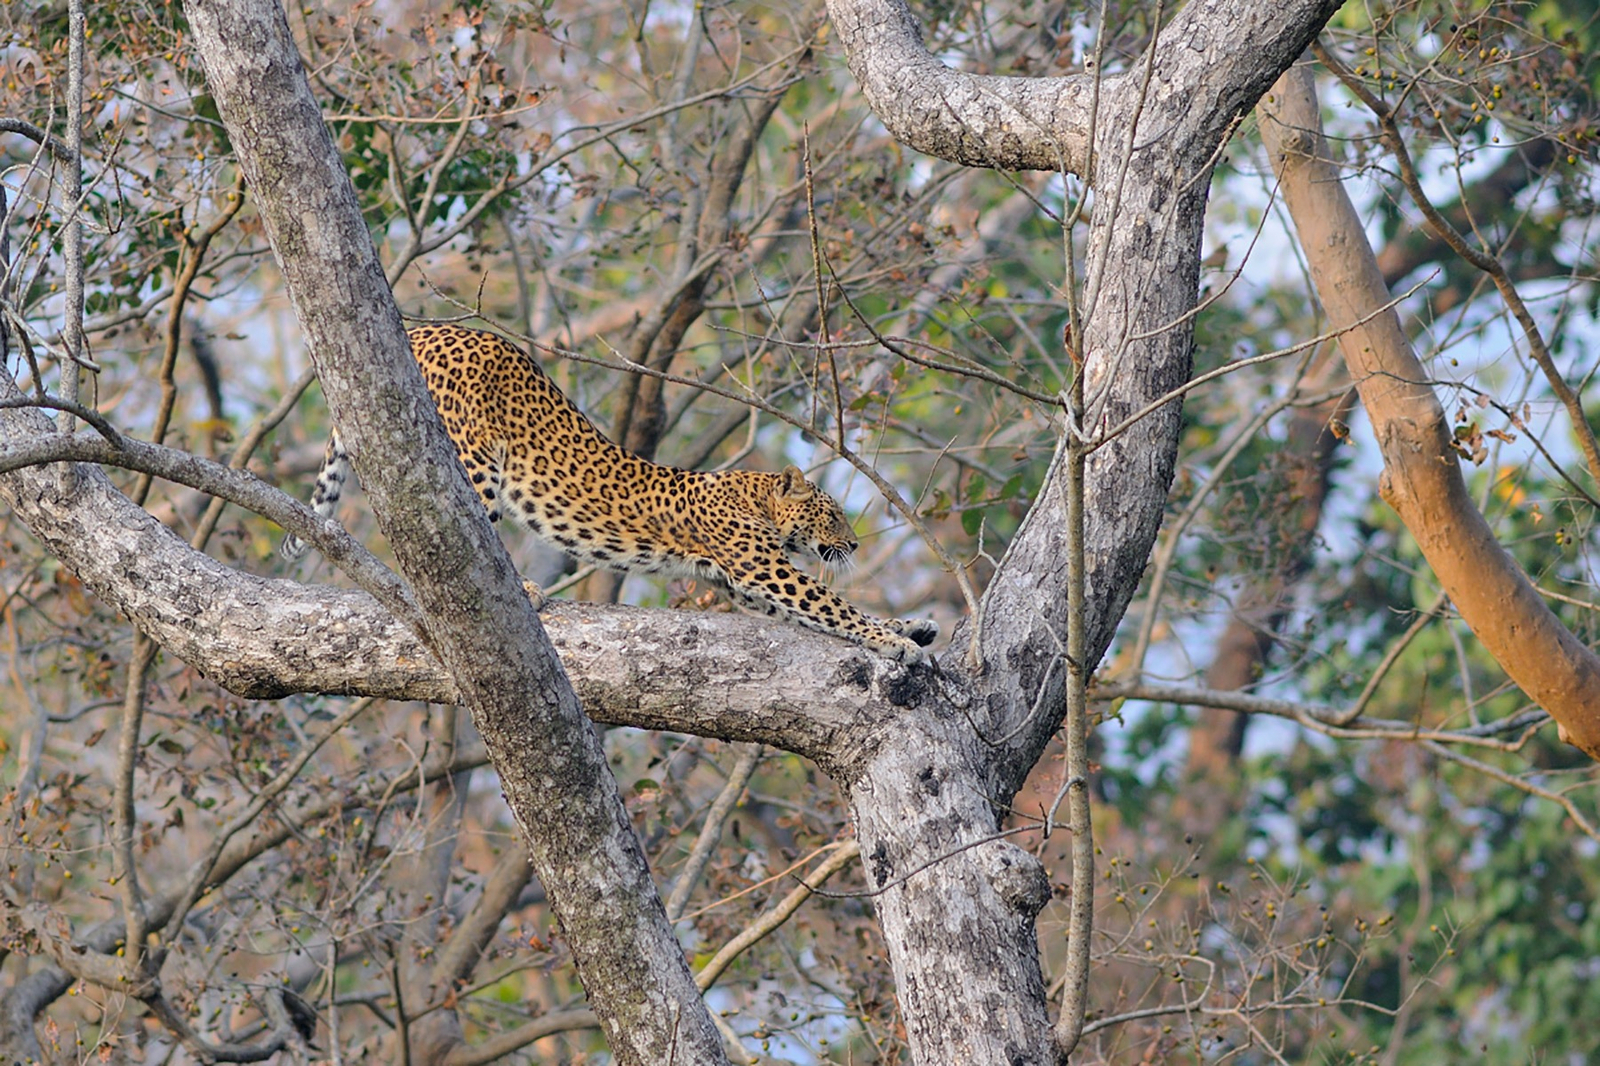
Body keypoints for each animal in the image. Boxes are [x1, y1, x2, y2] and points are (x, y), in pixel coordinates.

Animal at [282, 323, 939, 663]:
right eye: (831, 513)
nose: (854, 544)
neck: (754, 497)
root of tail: (423, 326)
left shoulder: (742, 582)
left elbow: (828, 611)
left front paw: (910, 628)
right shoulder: (760, 567)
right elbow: (833, 603)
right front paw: (895, 642)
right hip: (466, 456)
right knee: (437, 530)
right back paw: (521, 588)